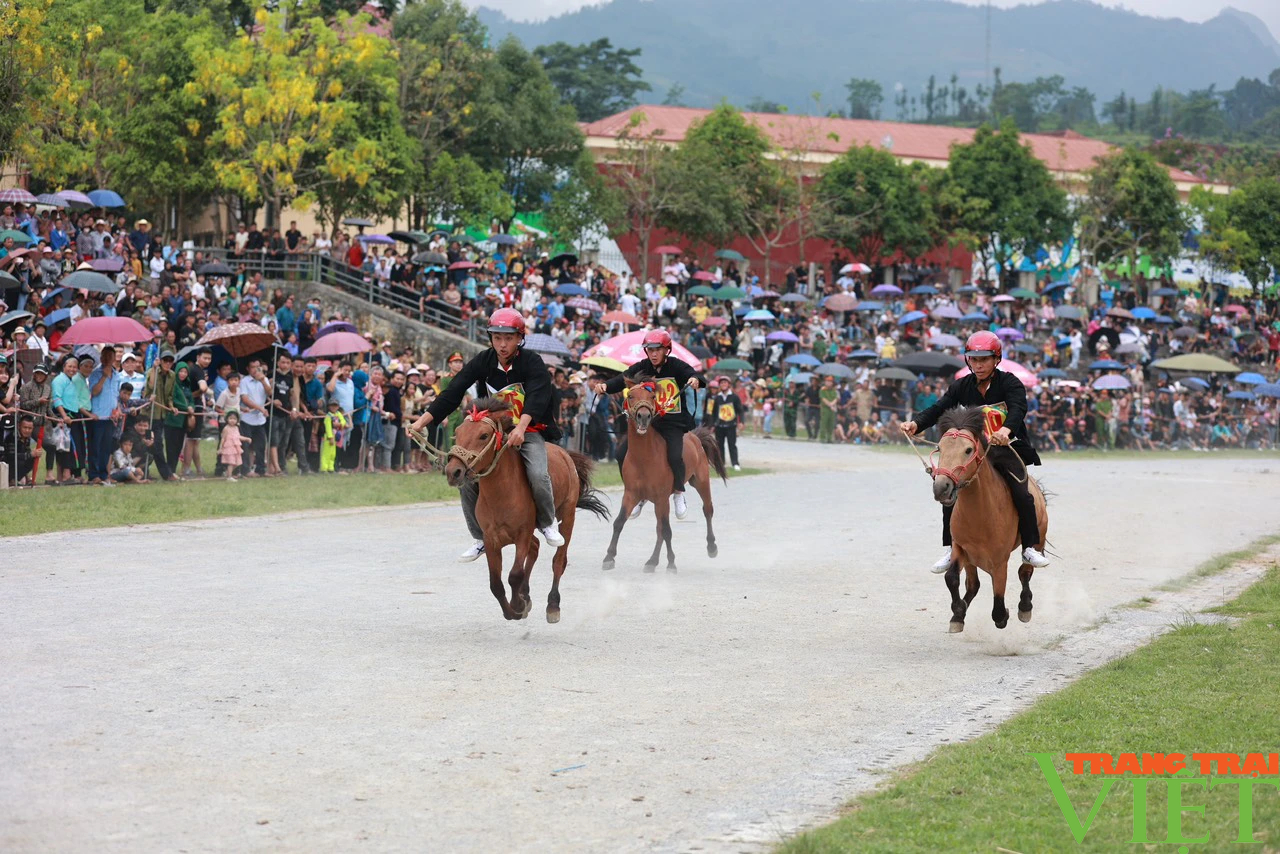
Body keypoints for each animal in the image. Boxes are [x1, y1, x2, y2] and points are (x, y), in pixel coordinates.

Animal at [442, 396, 606, 624]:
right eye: (457, 433)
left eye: (483, 435)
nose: (453, 472)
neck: (501, 492)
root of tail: (565, 454)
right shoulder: (492, 539)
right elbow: (496, 583)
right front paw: (513, 608)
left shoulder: (522, 534)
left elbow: (514, 574)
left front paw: (518, 605)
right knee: (535, 547)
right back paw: (526, 594)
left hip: (568, 515)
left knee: (558, 561)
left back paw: (552, 605)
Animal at [601, 381, 727, 573]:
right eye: (630, 395)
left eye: (652, 396)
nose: (643, 416)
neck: (644, 458)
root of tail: (695, 436)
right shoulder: (630, 494)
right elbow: (619, 522)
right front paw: (609, 557)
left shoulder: (661, 497)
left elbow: (667, 531)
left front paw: (671, 563)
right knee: (659, 528)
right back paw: (652, 561)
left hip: (700, 481)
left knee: (707, 510)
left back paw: (711, 547)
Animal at [931, 407, 1049, 635]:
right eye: (940, 448)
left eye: (968, 450)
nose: (941, 487)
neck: (980, 515)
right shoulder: (960, 547)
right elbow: (951, 577)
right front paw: (957, 613)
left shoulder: (1000, 560)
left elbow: (999, 597)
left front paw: (1003, 616)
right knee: (973, 585)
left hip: (1039, 536)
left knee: (1025, 571)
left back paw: (1025, 607)